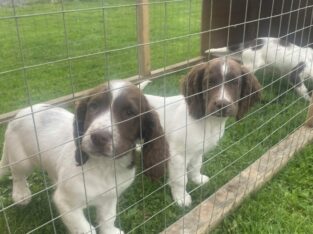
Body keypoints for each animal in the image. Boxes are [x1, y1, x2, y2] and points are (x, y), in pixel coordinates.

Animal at [0, 80, 168, 232]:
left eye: (129, 113)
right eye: (93, 106)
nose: (98, 137)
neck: (105, 166)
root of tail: (23, 111)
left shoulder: (110, 196)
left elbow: (108, 218)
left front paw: (109, 230)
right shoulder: (66, 203)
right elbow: (84, 228)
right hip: (21, 158)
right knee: (18, 175)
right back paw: (21, 194)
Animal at [144, 58, 260, 207]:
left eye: (235, 83)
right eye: (209, 82)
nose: (222, 105)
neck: (208, 122)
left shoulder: (198, 149)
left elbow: (196, 165)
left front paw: (197, 179)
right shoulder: (177, 155)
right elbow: (180, 179)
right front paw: (181, 198)